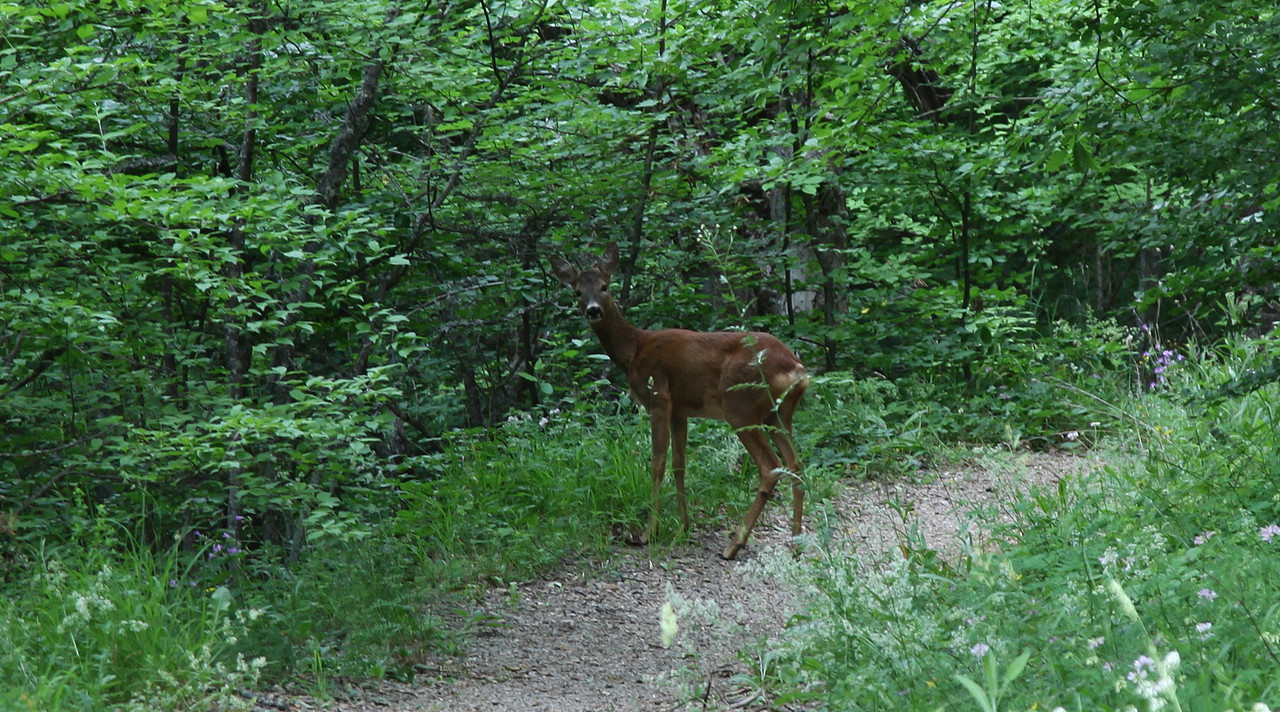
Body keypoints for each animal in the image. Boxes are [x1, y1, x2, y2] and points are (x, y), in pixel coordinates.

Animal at [550, 242, 808, 558]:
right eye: (577, 291)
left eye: (604, 286)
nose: (593, 310)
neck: (633, 350)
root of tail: (796, 368)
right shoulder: (681, 410)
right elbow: (679, 464)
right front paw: (683, 526)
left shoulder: (658, 398)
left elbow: (657, 463)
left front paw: (649, 531)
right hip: (778, 414)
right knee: (796, 464)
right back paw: (795, 543)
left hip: (740, 408)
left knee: (771, 467)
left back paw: (735, 543)